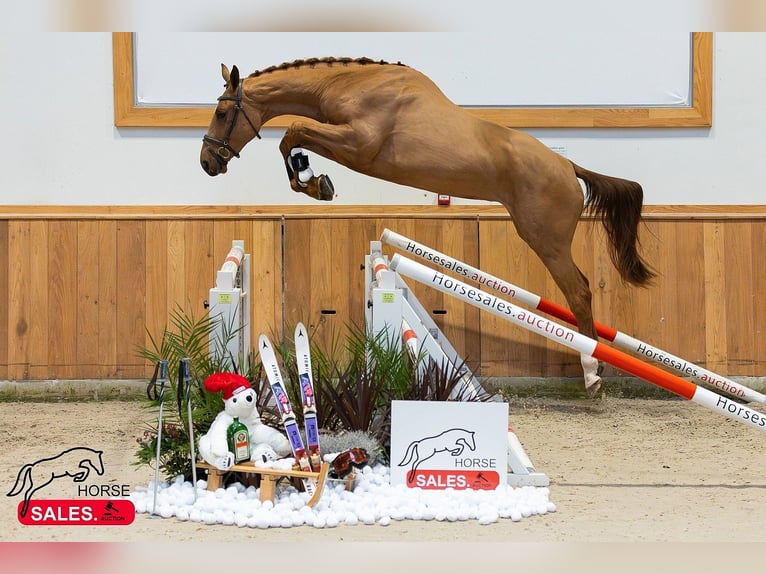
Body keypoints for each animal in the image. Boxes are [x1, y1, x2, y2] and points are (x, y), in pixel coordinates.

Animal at [200, 57, 656, 396]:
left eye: (222, 113)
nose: (207, 163)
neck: (349, 83)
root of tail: (567, 166)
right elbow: (293, 136)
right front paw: (314, 180)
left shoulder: (357, 143)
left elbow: (293, 132)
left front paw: (312, 181)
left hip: (546, 239)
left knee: (579, 291)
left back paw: (592, 374)